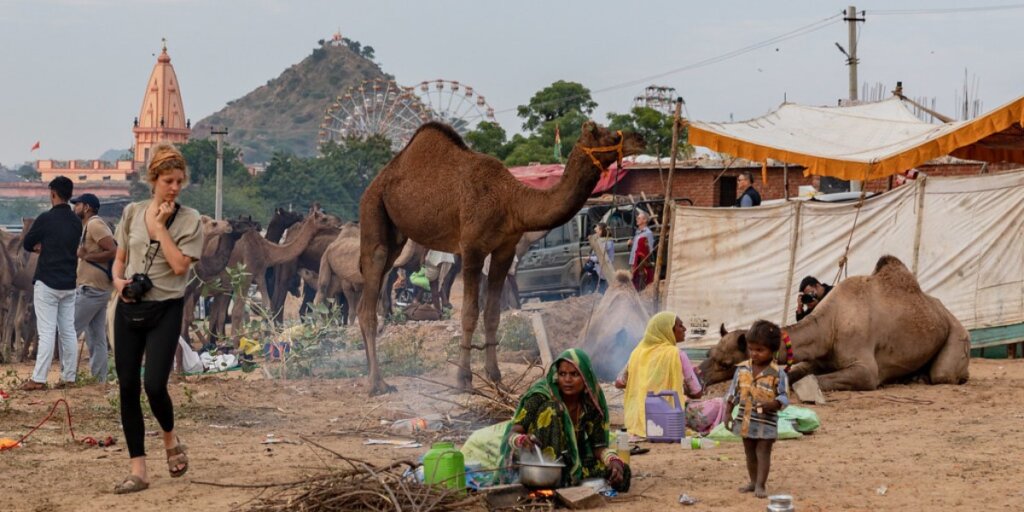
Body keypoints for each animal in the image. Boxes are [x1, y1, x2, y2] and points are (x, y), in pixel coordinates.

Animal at [354, 121, 638, 393]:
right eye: (608, 135)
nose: (639, 139)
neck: (510, 200)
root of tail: (376, 182)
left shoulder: (504, 249)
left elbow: (492, 314)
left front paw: (496, 378)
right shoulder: (472, 248)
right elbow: (469, 313)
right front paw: (464, 380)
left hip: (397, 236)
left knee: (368, 297)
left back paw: (370, 376)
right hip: (373, 212)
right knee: (370, 296)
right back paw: (377, 384)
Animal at [700, 253, 970, 389]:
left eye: (725, 363)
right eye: (709, 352)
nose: (698, 376)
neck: (830, 326)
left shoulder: (866, 370)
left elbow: (815, 381)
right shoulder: (820, 358)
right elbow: (797, 373)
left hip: (957, 334)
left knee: (944, 374)